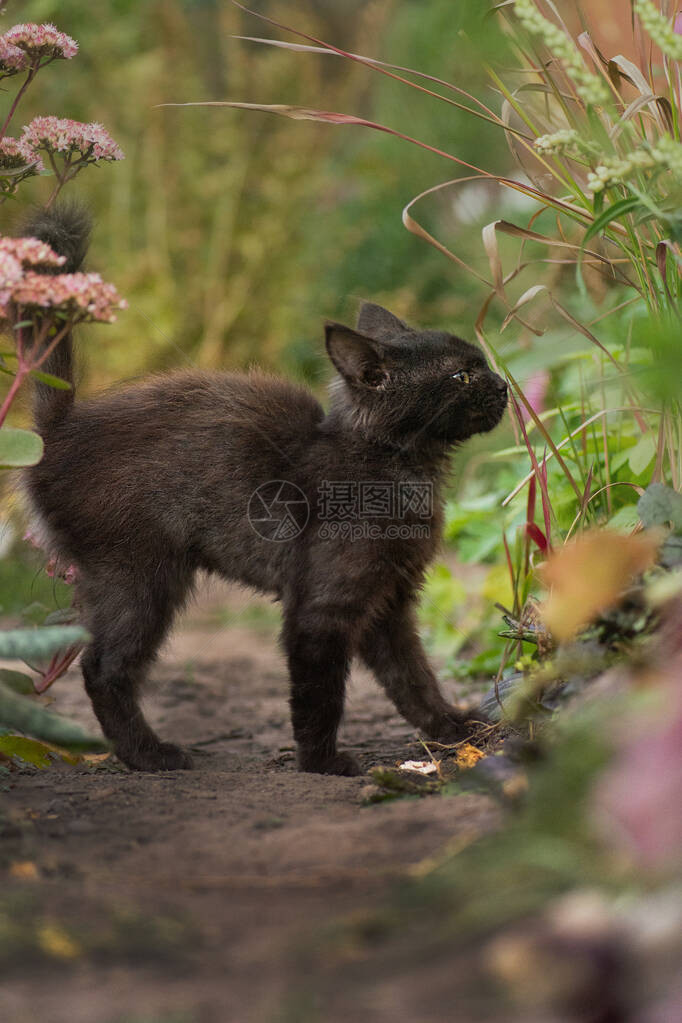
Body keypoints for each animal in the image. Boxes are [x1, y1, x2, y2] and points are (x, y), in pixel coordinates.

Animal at [22, 205, 507, 773]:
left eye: (480, 366)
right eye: (461, 376)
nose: (503, 385)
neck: (401, 469)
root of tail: (59, 430)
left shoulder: (389, 601)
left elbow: (412, 676)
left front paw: (451, 727)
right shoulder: (321, 607)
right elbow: (320, 694)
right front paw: (321, 763)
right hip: (140, 575)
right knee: (103, 666)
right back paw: (150, 755)